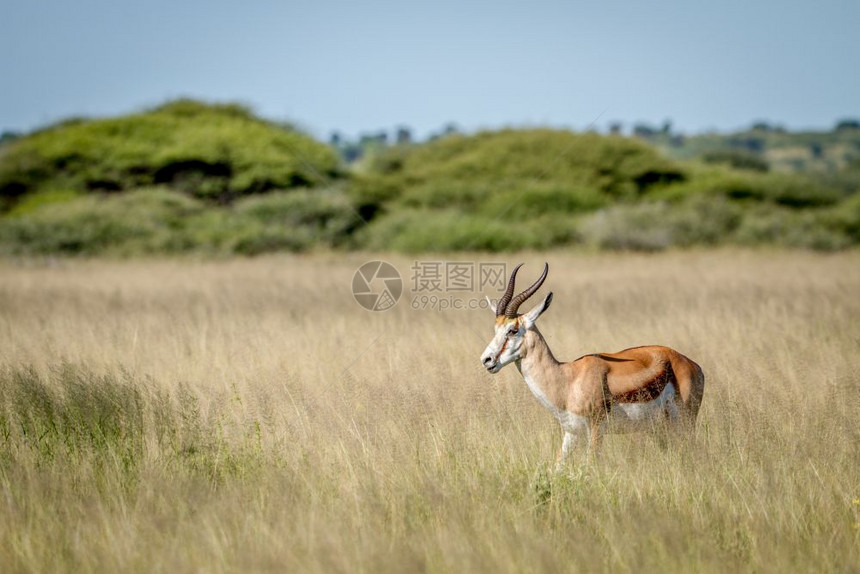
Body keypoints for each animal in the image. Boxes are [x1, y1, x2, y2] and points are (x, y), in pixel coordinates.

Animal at [478, 266, 704, 468]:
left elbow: (589, 467)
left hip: (686, 421)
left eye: (513, 330)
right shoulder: (571, 432)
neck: (567, 379)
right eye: (496, 329)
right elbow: (558, 467)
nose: (486, 359)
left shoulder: (596, 430)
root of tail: (692, 364)